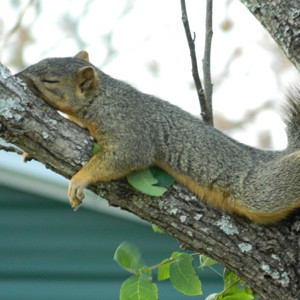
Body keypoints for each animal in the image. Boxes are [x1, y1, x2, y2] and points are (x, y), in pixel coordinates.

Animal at [16, 51, 300, 224]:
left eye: (51, 81)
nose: (19, 76)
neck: (103, 98)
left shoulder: (129, 128)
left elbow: (126, 156)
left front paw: (79, 180)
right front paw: (30, 150)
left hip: (260, 191)